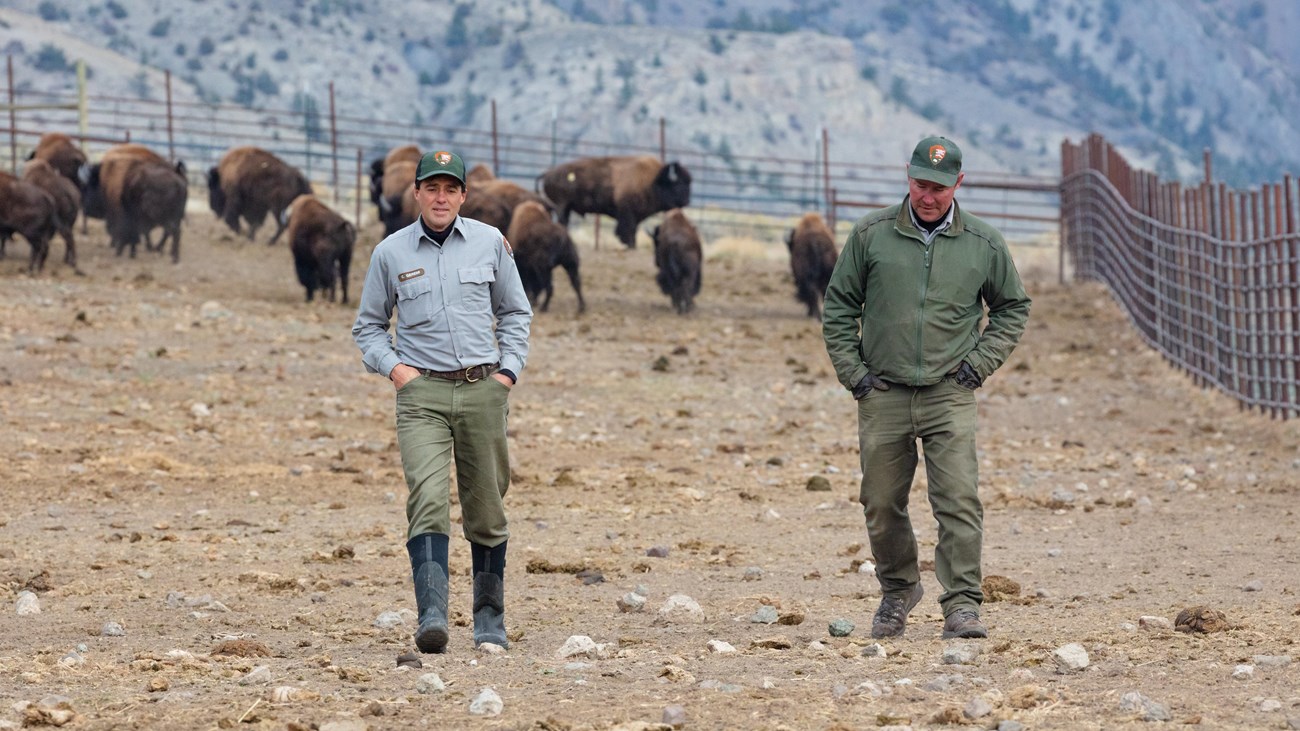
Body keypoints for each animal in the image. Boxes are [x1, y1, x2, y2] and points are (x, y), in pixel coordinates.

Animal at [538, 153, 691, 247]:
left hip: (565, 208)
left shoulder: (635, 216)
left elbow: (632, 231)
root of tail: (548, 173)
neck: (652, 181)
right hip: (561, 206)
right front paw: (630, 246)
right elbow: (627, 231)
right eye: (678, 184)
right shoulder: (626, 213)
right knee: (562, 223)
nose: (687, 201)